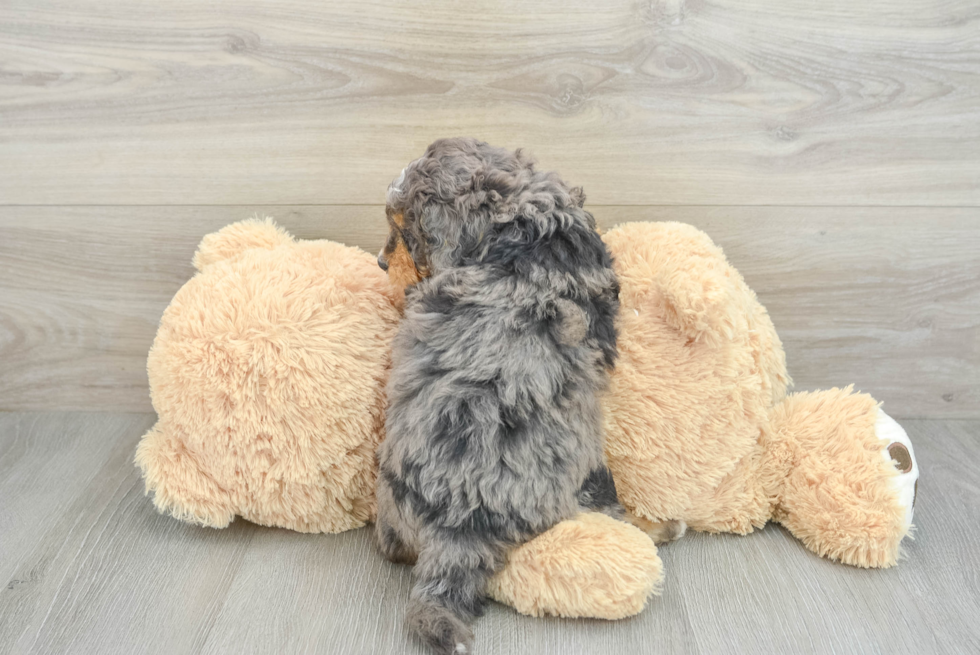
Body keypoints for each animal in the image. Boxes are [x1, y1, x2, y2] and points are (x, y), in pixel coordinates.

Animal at [378, 140, 676, 655]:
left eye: (404, 233)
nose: (379, 262)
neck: (516, 216)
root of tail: (457, 525)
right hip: (582, 467)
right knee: (607, 505)